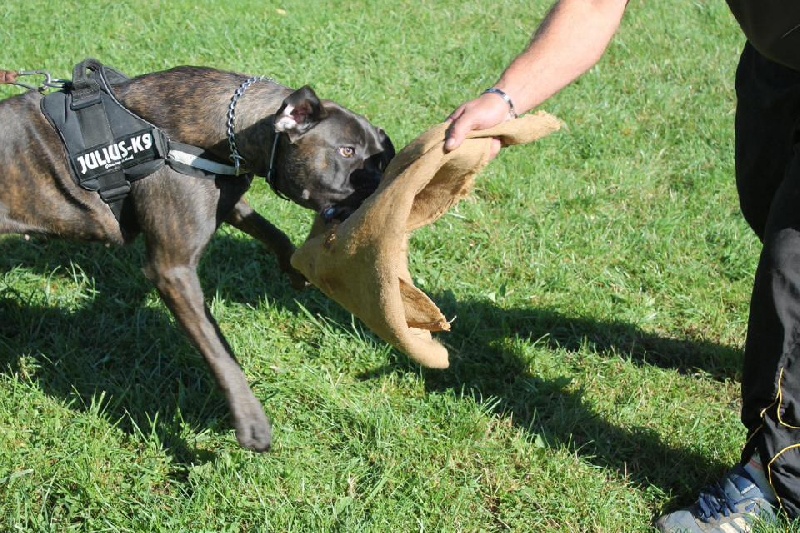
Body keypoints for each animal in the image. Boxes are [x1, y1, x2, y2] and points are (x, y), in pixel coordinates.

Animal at [0, 64, 396, 450]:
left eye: (381, 159)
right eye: (347, 152)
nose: (379, 183)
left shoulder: (228, 200)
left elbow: (272, 232)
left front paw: (294, 270)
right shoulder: (173, 271)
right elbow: (219, 350)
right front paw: (250, 420)